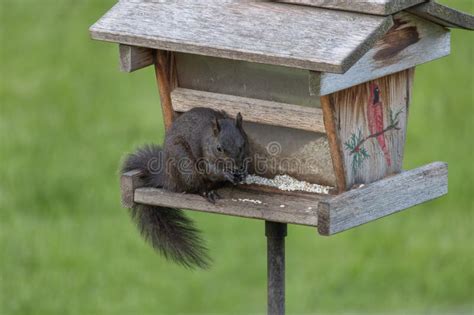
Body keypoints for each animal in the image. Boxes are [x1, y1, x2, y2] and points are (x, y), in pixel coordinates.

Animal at [120, 108, 250, 270]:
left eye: (242, 144)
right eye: (219, 148)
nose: (236, 166)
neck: (209, 138)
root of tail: (167, 179)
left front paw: (244, 172)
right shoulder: (205, 156)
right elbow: (212, 171)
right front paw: (227, 174)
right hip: (186, 166)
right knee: (195, 188)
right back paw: (208, 192)